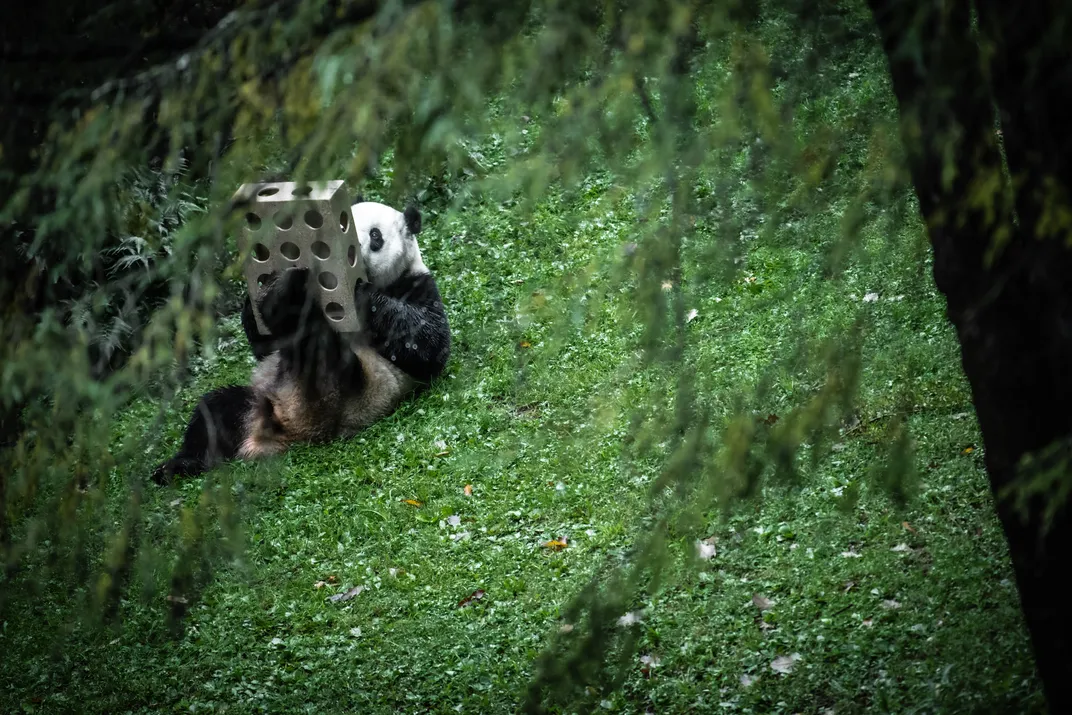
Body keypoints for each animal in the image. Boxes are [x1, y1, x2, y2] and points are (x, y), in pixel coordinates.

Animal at [151, 200, 450, 484]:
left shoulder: (418, 285)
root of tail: (295, 430)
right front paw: (264, 289)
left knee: (318, 346)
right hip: (259, 402)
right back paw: (175, 467)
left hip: (351, 391)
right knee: (215, 410)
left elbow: (426, 345)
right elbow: (265, 347)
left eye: (375, 236)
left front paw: (360, 292)